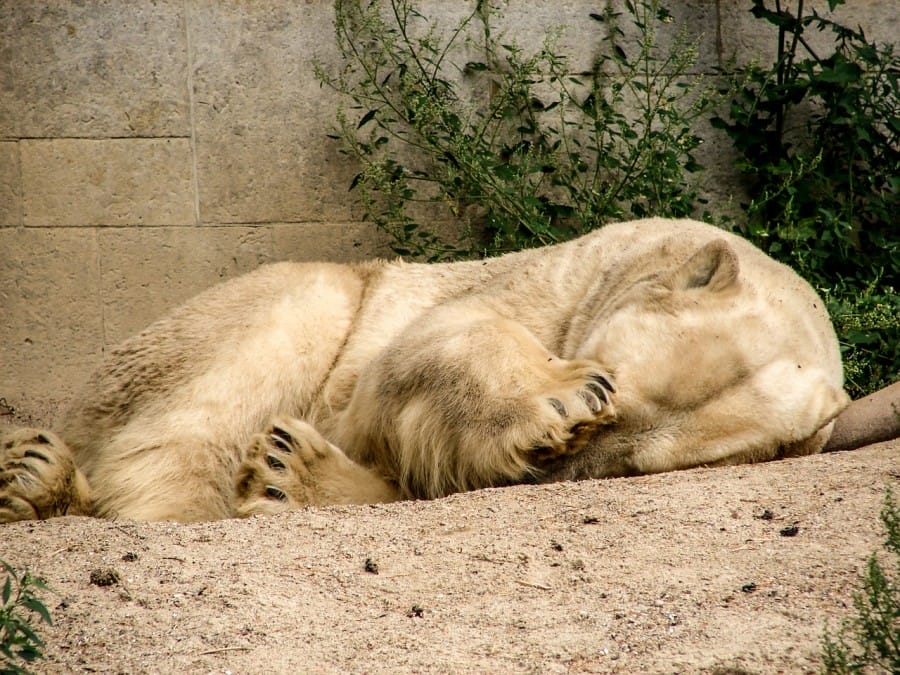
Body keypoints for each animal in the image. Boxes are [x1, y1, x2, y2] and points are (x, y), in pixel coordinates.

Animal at [0, 218, 848, 524]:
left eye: (633, 464)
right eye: (612, 380)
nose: (558, 462)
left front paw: (289, 475)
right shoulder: (542, 280)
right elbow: (423, 349)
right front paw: (555, 399)